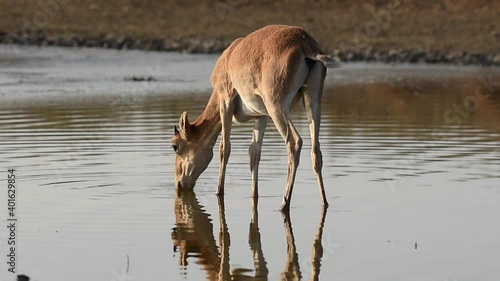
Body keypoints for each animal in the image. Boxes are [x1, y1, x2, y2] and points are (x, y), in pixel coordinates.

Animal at [172, 24, 340, 210]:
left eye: (175, 146)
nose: (179, 184)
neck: (229, 58)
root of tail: (304, 41)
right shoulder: (262, 116)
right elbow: (254, 152)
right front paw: (254, 195)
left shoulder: (226, 103)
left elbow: (224, 148)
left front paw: (218, 192)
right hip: (312, 102)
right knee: (316, 151)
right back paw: (325, 202)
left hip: (277, 106)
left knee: (294, 142)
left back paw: (284, 203)